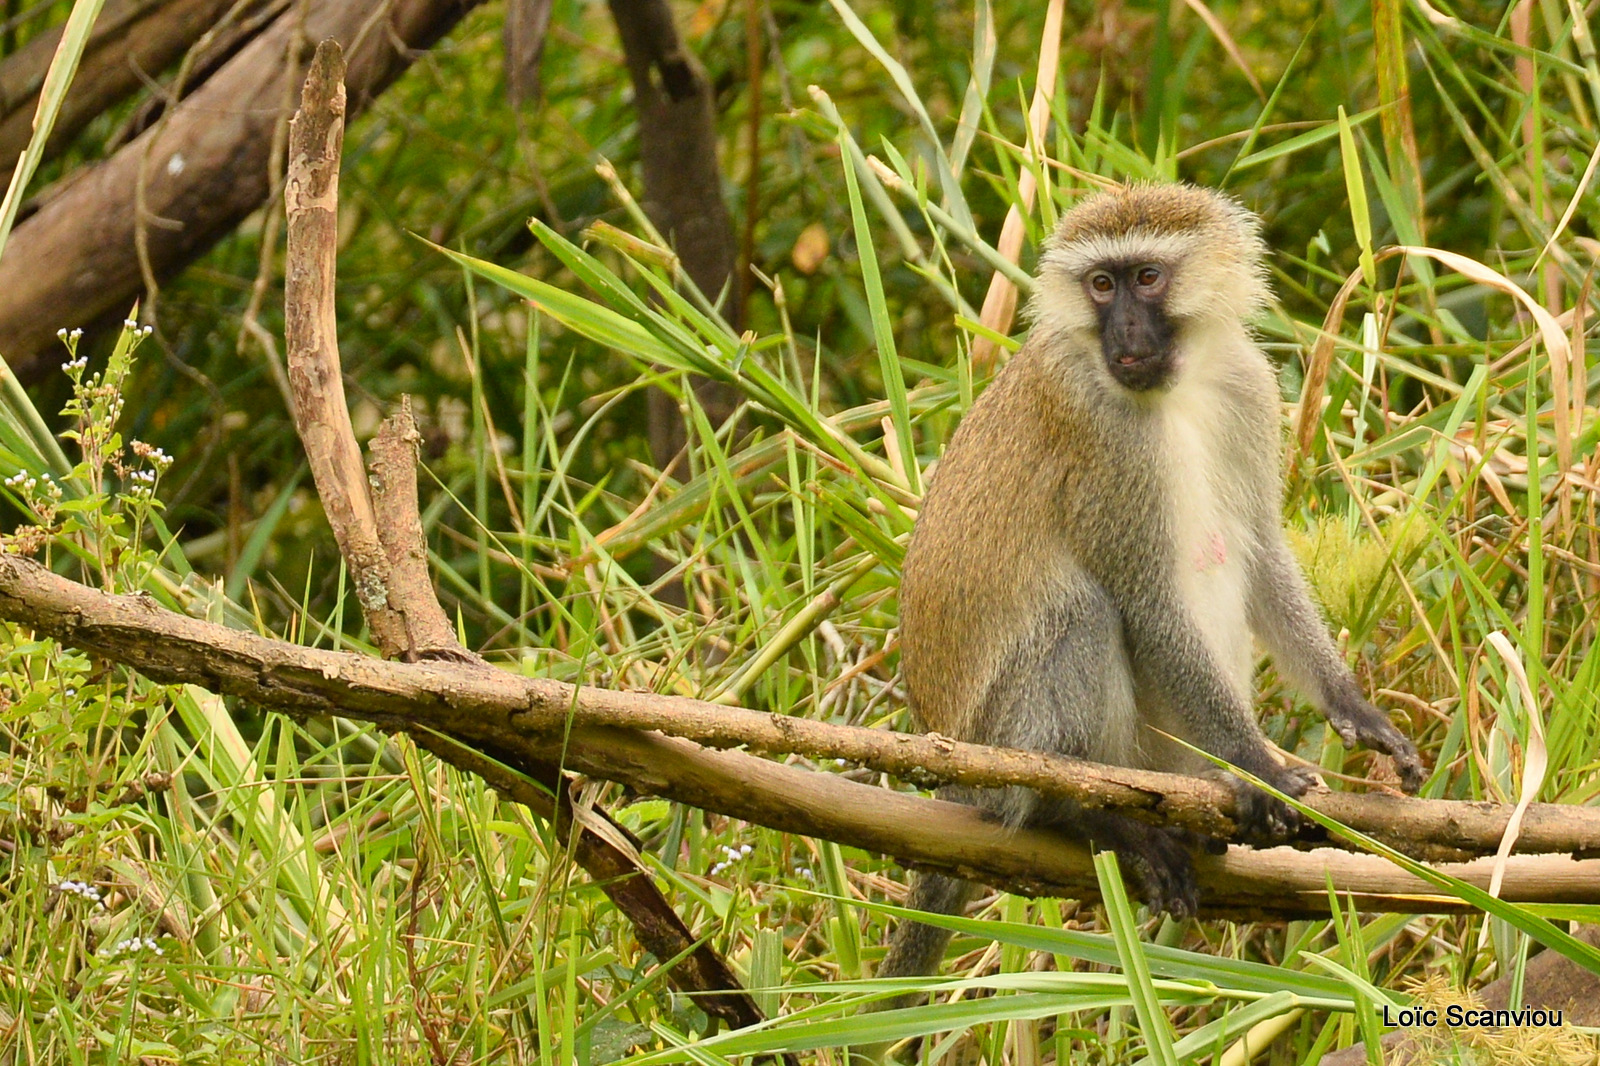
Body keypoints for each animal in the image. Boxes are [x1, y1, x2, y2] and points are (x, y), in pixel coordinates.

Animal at [889, 180, 1427, 979]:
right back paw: (1090, 815)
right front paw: (1257, 766)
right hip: (1000, 745)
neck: (1181, 387)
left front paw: (1355, 711)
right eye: (1100, 285)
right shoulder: (1103, 441)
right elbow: (1147, 605)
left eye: (1146, 278)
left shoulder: (1247, 388)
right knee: (1082, 613)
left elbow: (1261, 555)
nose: (1126, 330)